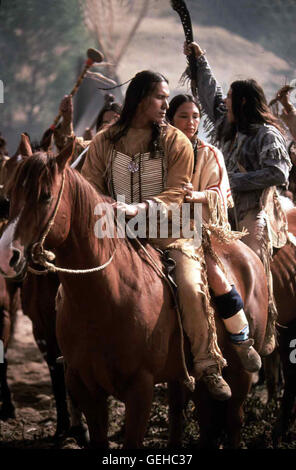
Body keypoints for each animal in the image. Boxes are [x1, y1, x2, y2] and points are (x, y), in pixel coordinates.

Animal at [0, 142, 268, 448]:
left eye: (45, 196)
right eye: (10, 195)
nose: (8, 255)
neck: (106, 297)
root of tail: (248, 256)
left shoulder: (140, 388)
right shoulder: (85, 387)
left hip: (240, 375)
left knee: (233, 420)